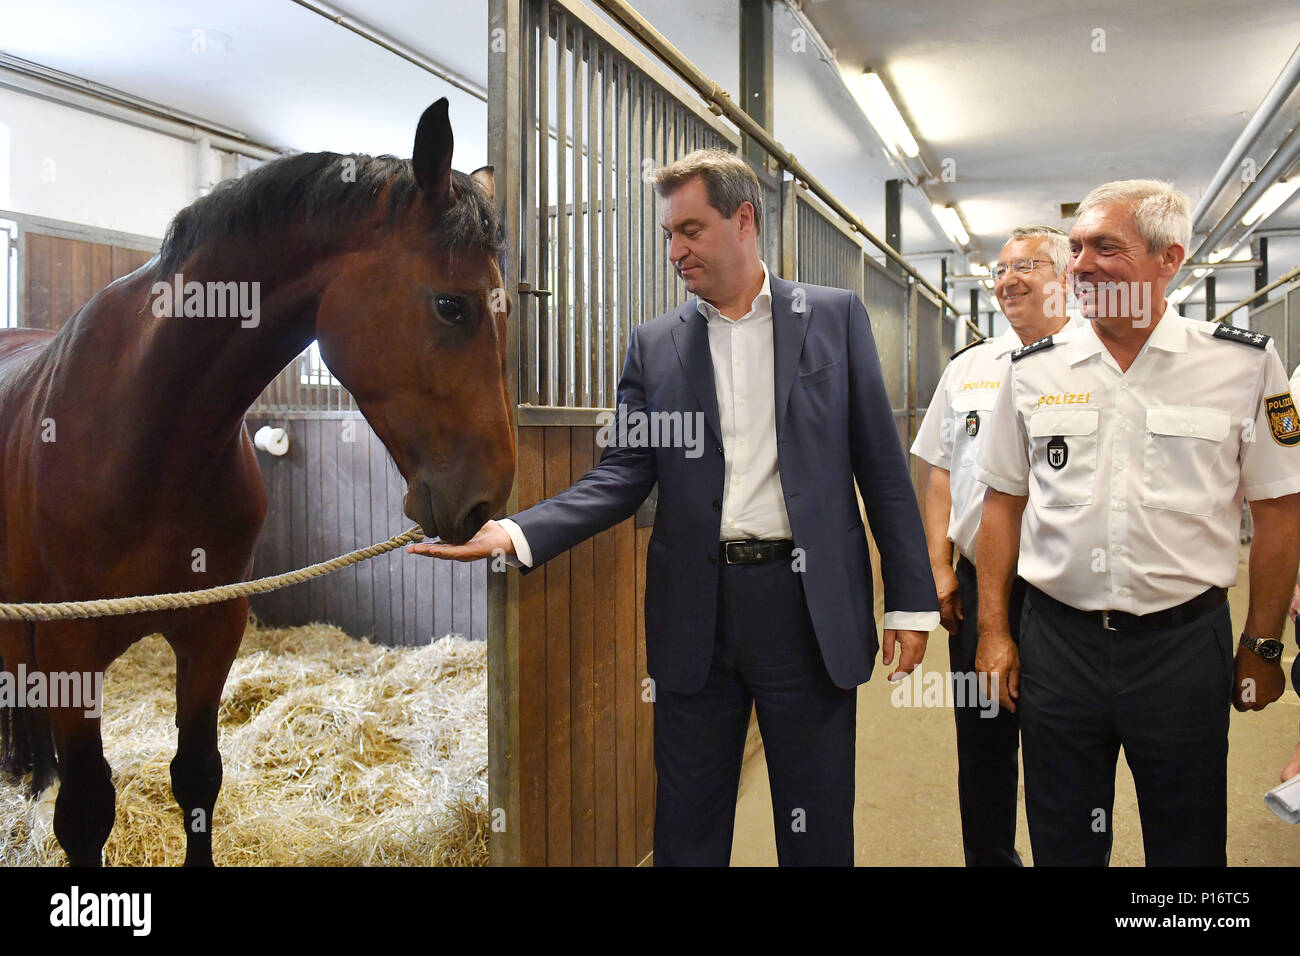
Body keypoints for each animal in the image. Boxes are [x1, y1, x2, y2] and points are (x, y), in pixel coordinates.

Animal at [0, 98, 514, 868]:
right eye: (453, 306)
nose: (489, 499)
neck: (149, 435)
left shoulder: (216, 625)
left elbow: (197, 776)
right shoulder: (70, 646)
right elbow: (87, 809)